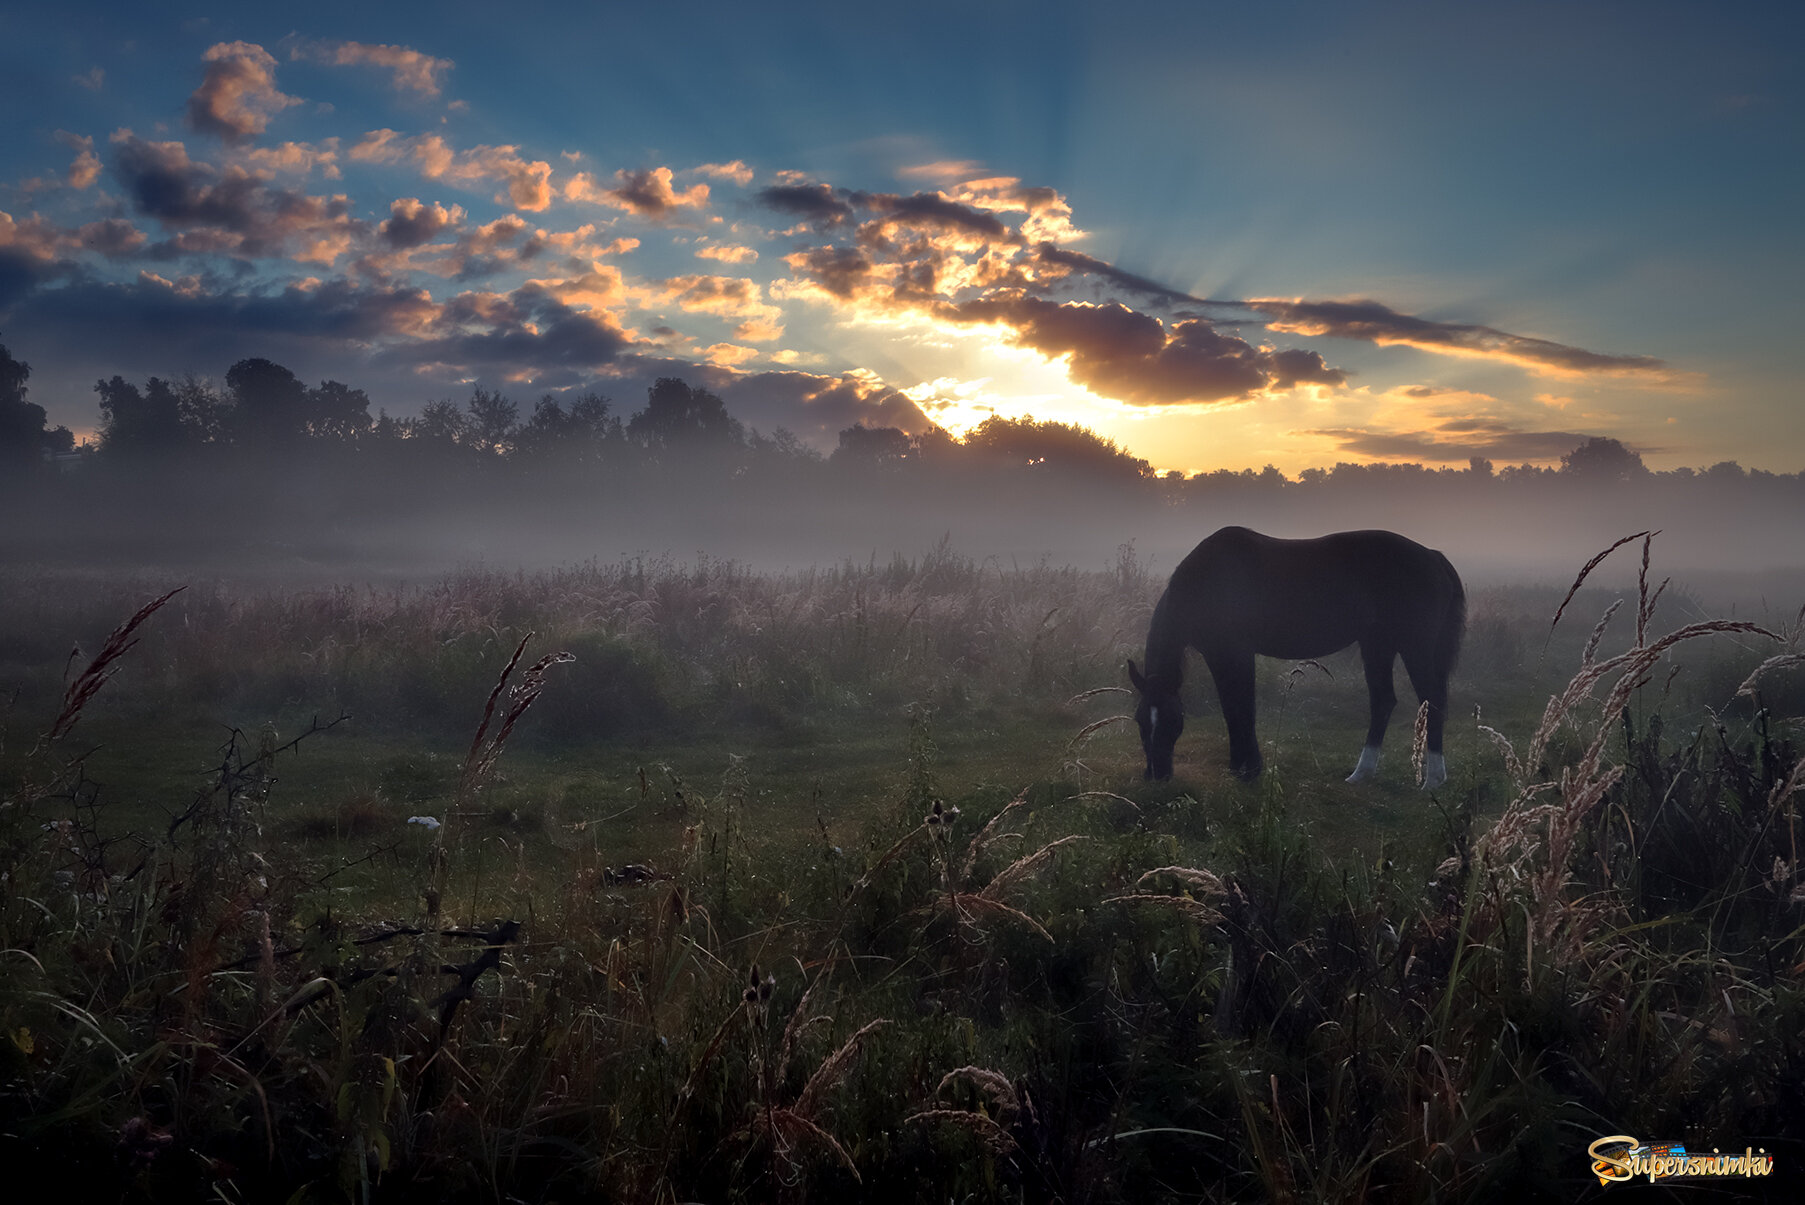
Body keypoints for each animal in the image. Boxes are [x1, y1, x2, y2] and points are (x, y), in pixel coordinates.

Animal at [1126, 526, 1465, 790]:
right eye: (1140, 720)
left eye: (1173, 719)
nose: (1156, 775)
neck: (1208, 580)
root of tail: (1433, 556)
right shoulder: (1217, 654)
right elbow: (1231, 709)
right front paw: (1239, 767)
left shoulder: (1236, 653)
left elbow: (1242, 708)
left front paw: (1249, 770)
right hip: (1377, 644)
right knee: (1383, 701)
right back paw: (1361, 774)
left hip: (1413, 646)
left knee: (1432, 699)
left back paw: (1433, 780)